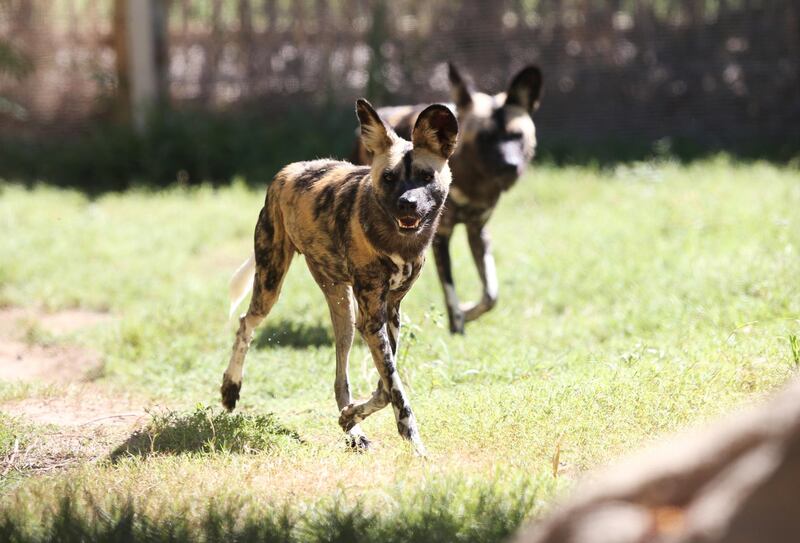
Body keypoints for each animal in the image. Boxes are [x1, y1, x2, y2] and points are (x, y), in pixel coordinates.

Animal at [220, 99, 456, 454]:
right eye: (389, 178)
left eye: (426, 176)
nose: (407, 204)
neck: (398, 242)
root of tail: (286, 171)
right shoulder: (373, 319)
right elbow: (395, 390)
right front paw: (414, 444)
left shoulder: (389, 314)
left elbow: (386, 386)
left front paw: (350, 416)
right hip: (272, 282)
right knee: (246, 323)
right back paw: (231, 389)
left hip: (343, 310)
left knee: (339, 377)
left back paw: (354, 431)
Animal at [352, 64, 544, 336]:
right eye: (484, 138)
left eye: (517, 136)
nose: (510, 166)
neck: (473, 185)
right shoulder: (440, 236)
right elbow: (450, 290)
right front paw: (458, 325)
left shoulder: (478, 231)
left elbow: (490, 295)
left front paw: (467, 312)